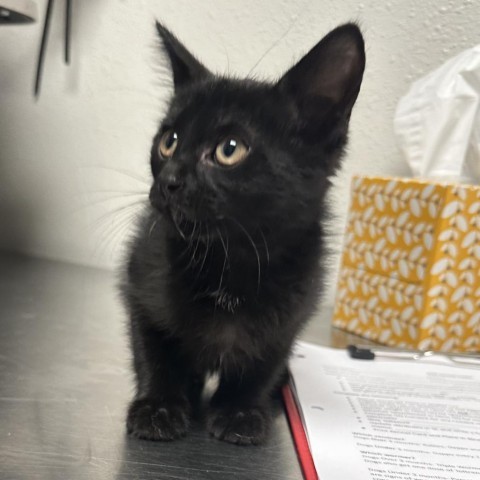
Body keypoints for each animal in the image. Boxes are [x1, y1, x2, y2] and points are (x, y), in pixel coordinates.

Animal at [123, 21, 364, 442]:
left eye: (229, 149)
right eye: (168, 142)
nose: (168, 181)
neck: (229, 260)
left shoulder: (292, 315)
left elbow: (263, 364)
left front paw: (238, 411)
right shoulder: (141, 278)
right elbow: (153, 348)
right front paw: (158, 406)